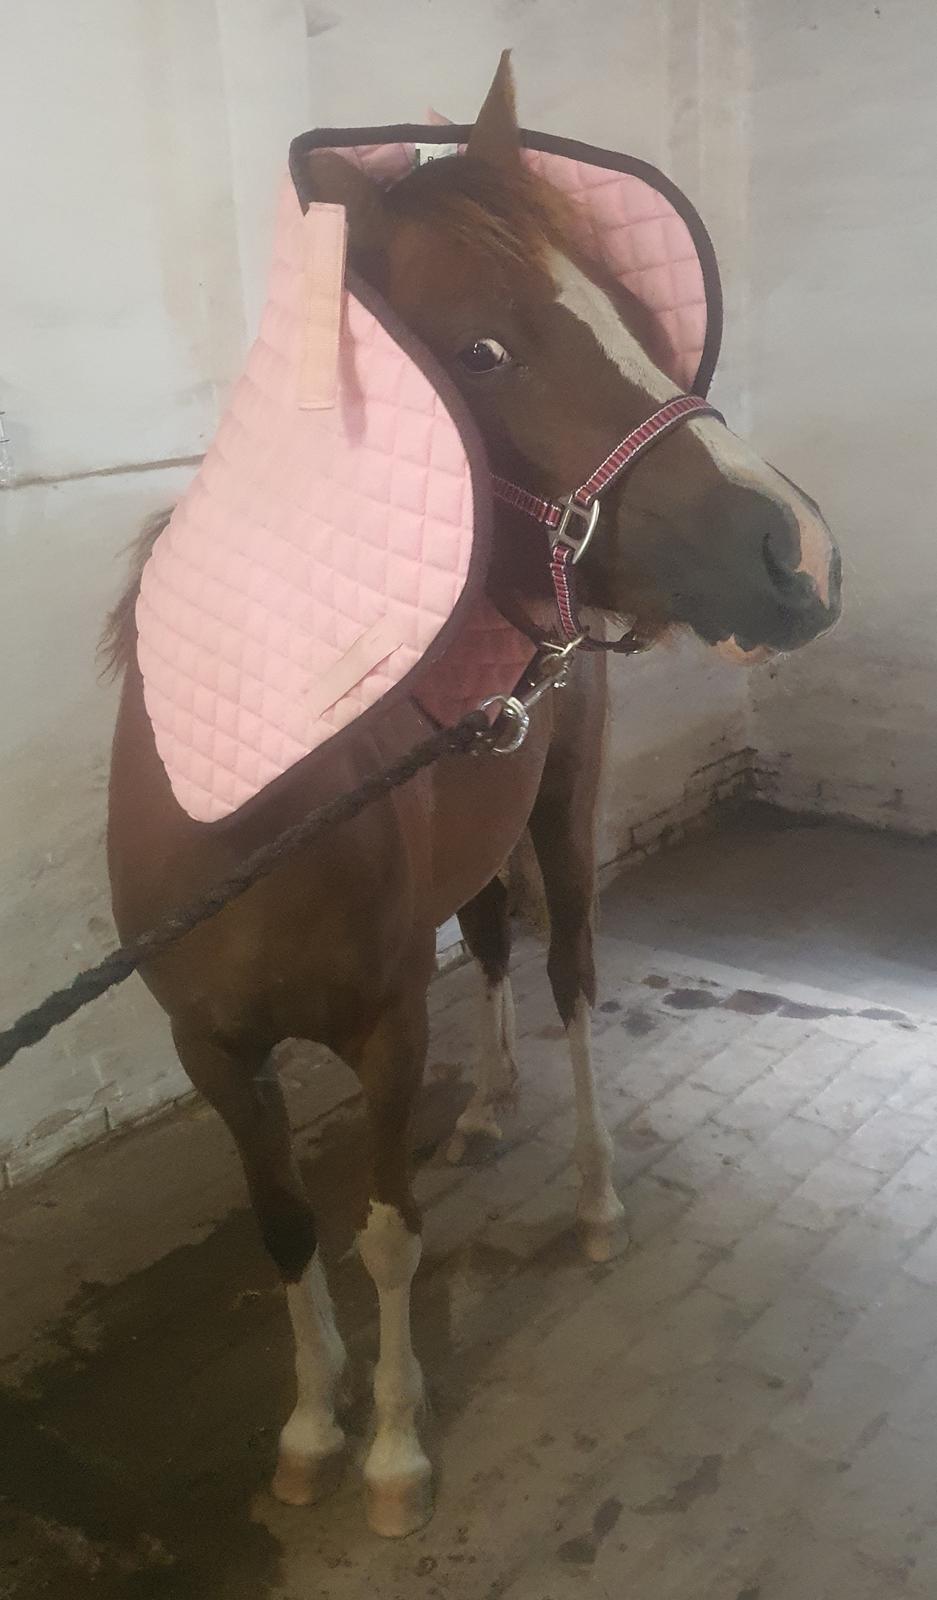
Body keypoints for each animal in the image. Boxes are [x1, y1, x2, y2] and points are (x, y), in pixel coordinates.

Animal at [104, 55, 841, 1537]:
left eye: (631, 318)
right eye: (485, 352)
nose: (795, 552)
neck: (249, 821)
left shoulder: (387, 1030)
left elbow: (386, 1231)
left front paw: (391, 1447)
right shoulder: (211, 1051)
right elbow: (287, 1229)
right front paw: (307, 1429)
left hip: (559, 824)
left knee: (564, 977)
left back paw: (597, 1199)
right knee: (497, 950)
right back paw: (493, 1108)